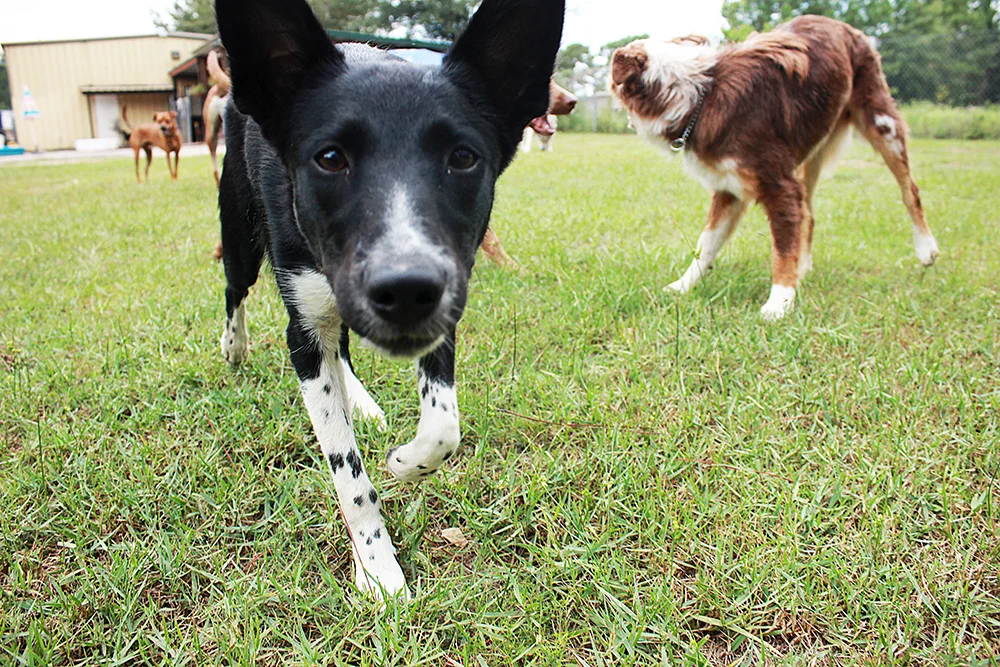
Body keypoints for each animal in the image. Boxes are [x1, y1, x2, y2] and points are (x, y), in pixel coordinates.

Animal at [215, 0, 564, 598]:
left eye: (463, 157)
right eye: (330, 157)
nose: (405, 289)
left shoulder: (446, 300)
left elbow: (444, 426)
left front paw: (405, 463)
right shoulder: (302, 330)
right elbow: (348, 475)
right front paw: (377, 568)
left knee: (342, 347)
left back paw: (361, 400)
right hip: (240, 231)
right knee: (235, 290)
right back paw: (234, 347)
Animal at [610, 16, 939, 319]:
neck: (699, 93)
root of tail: (842, 24)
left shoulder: (779, 185)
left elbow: (780, 247)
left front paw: (779, 302)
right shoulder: (729, 188)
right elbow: (706, 244)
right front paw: (682, 286)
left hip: (882, 123)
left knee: (910, 189)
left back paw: (925, 248)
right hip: (813, 150)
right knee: (809, 213)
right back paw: (804, 265)